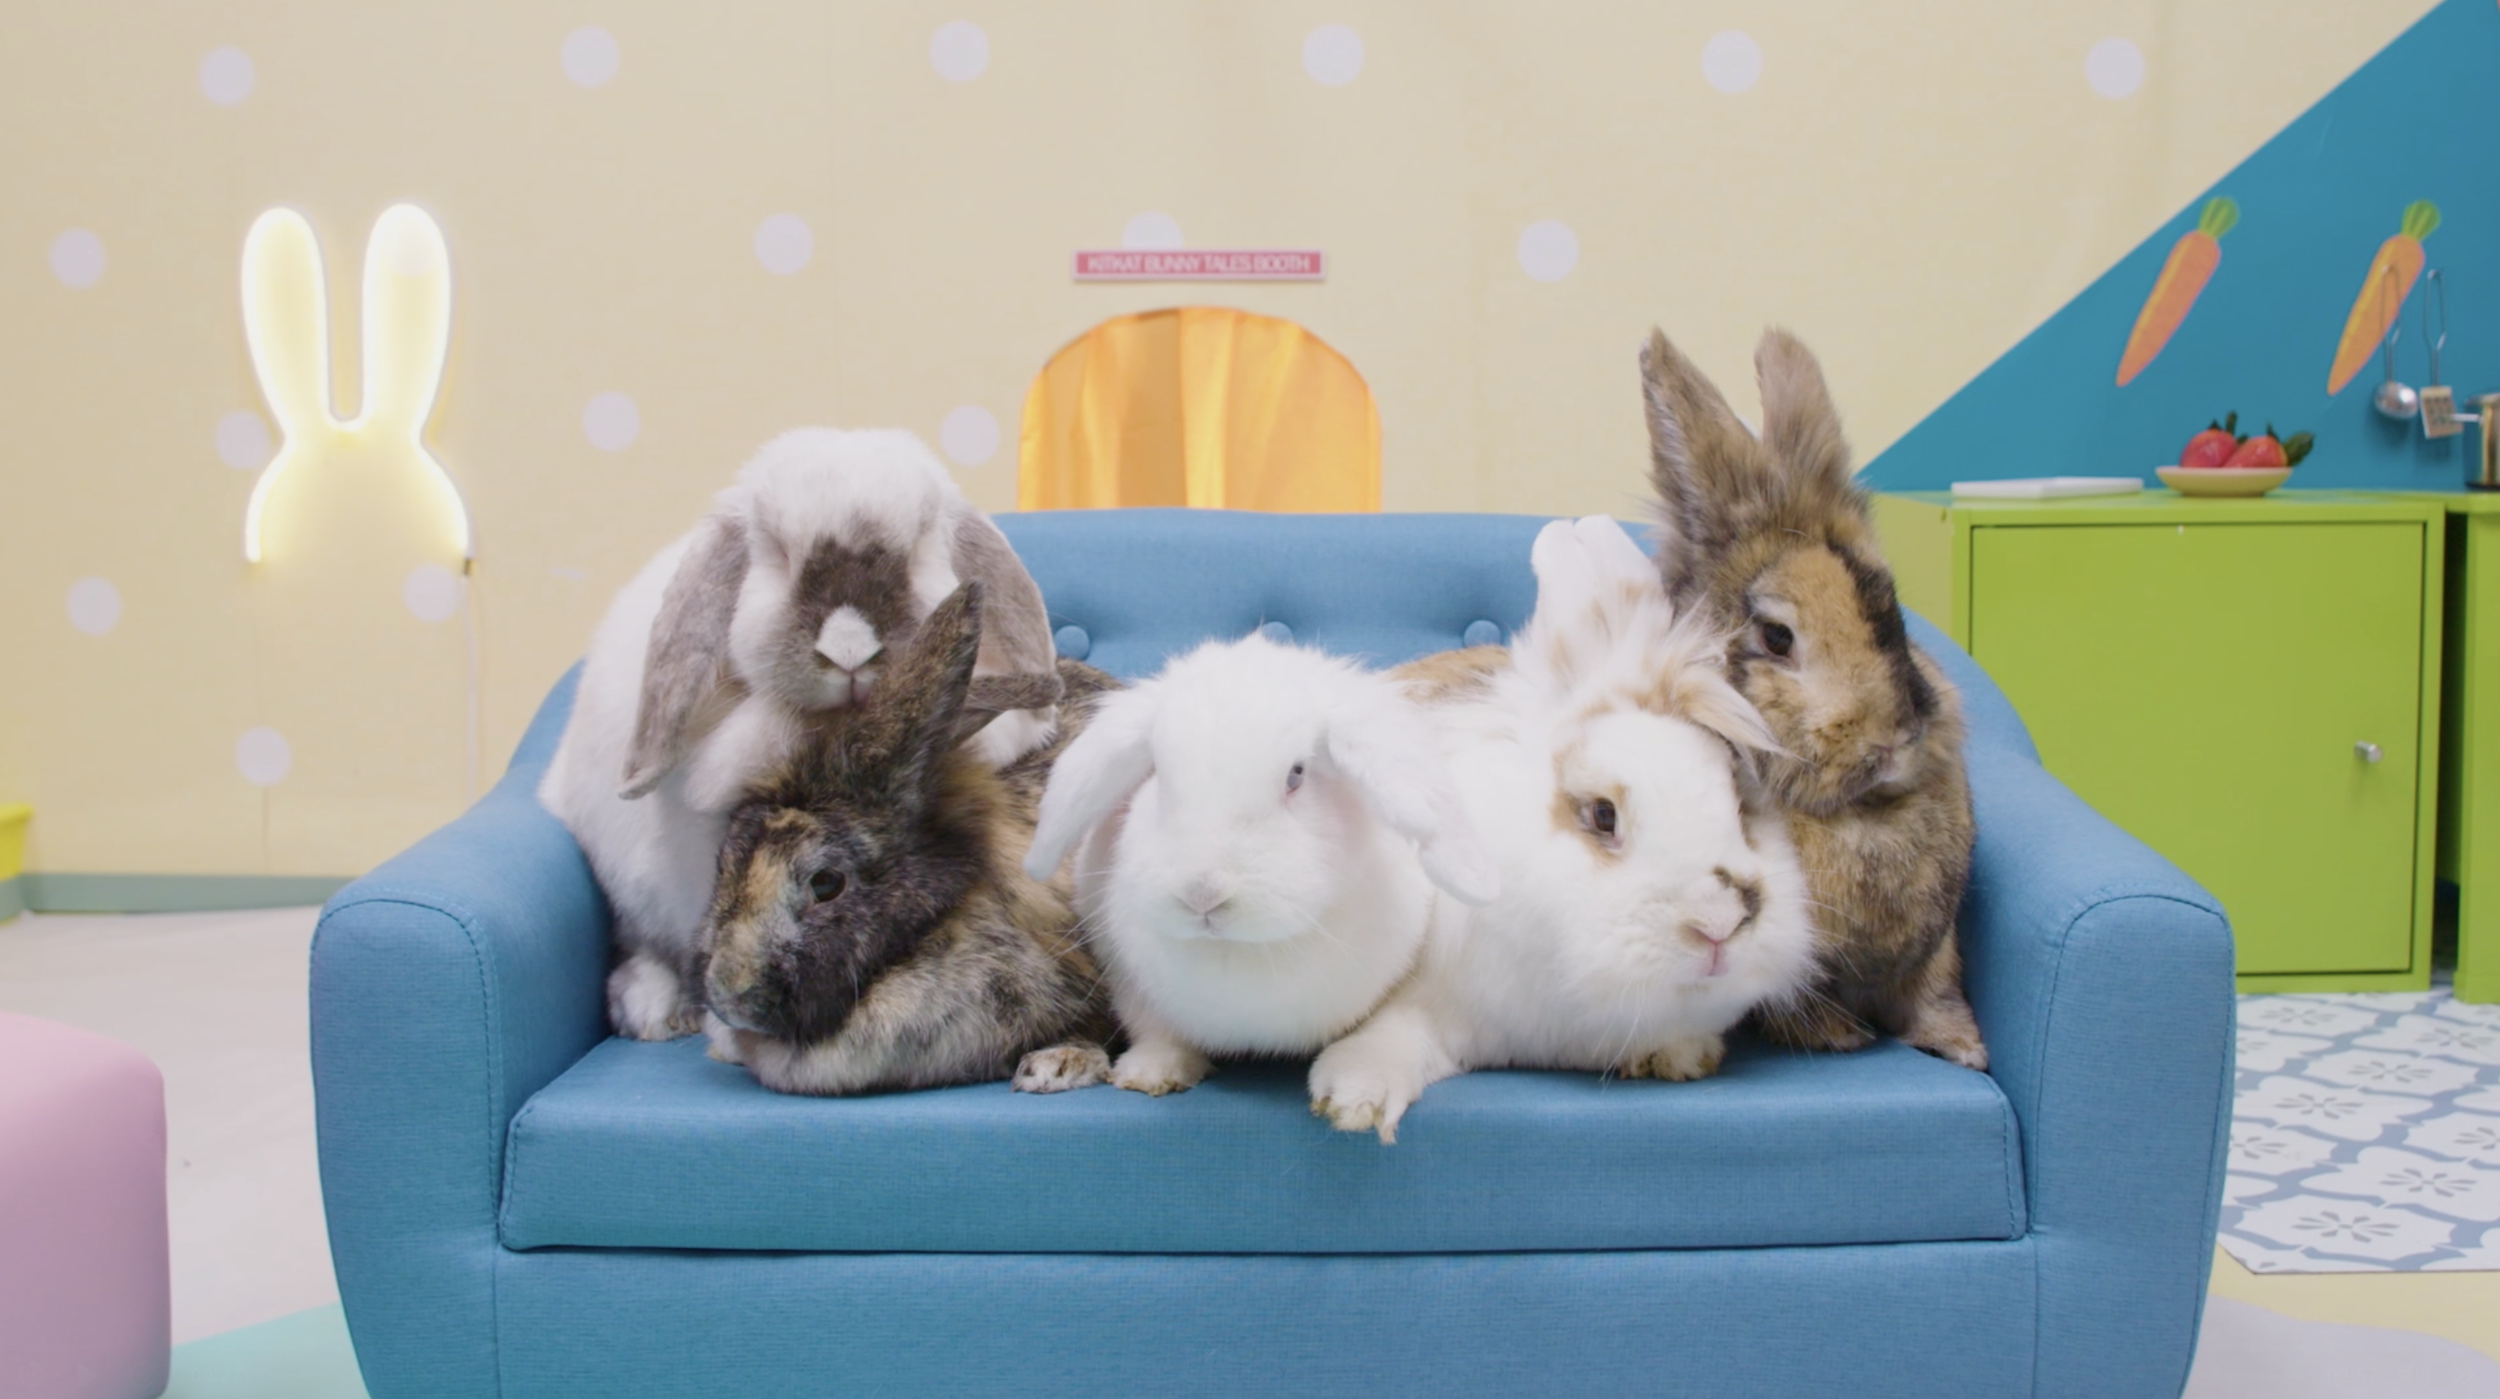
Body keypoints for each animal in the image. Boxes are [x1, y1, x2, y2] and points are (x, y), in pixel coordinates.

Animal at [1019, 632, 1500, 1098]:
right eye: (1156, 775)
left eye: (1296, 774)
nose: (1201, 893)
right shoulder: (1129, 987)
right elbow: (1159, 1034)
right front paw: (1151, 1073)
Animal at [1308, 516, 1818, 1143]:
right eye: (1603, 814)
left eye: (1739, 803)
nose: (1718, 926)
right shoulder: (1433, 1002)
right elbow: (1394, 1036)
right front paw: (1355, 1097)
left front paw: (1679, 1057)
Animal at [1637, 326, 1987, 1071]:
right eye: (1776, 637)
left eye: (1896, 617)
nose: (1895, 737)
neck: (1855, 816)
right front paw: (1839, 1037)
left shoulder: (1936, 948)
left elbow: (1935, 991)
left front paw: (1965, 1048)